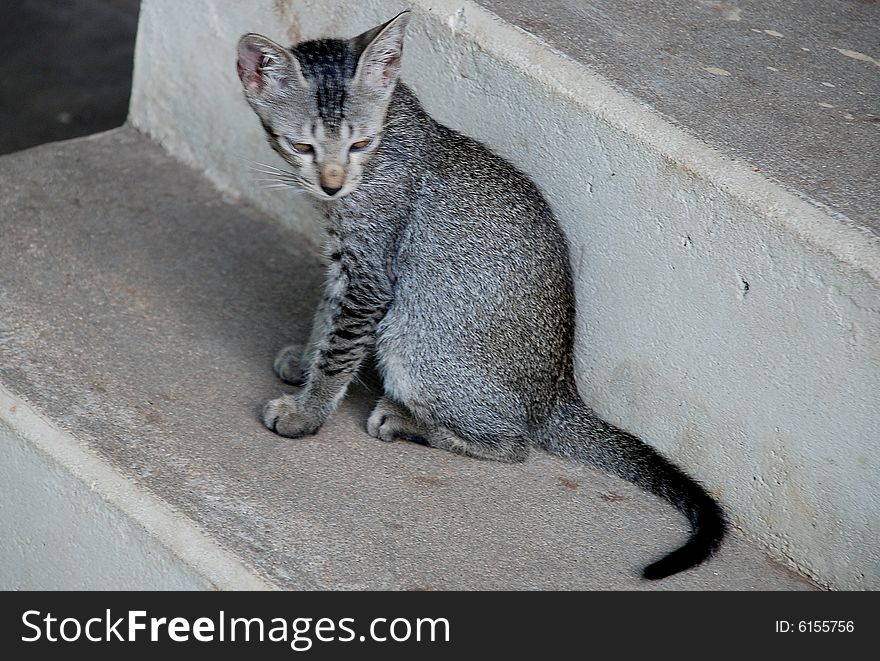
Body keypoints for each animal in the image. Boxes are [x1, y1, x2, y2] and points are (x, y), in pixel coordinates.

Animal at [237, 10, 724, 576]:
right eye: (302, 146)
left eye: (360, 144)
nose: (332, 183)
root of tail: (558, 393)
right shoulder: (344, 261)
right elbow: (326, 316)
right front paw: (305, 362)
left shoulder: (372, 272)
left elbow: (340, 349)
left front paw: (308, 412)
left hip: (411, 340)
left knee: (515, 447)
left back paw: (404, 421)